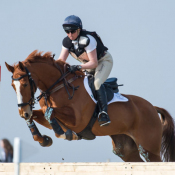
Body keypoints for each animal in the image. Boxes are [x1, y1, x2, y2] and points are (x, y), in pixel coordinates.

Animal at [5, 50, 175, 162]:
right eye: (13, 86)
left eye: (25, 84)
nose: (23, 112)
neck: (58, 86)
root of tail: (152, 107)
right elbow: (40, 114)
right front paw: (42, 139)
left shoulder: (78, 121)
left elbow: (51, 112)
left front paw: (65, 133)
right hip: (125, 150)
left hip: (149, 148)